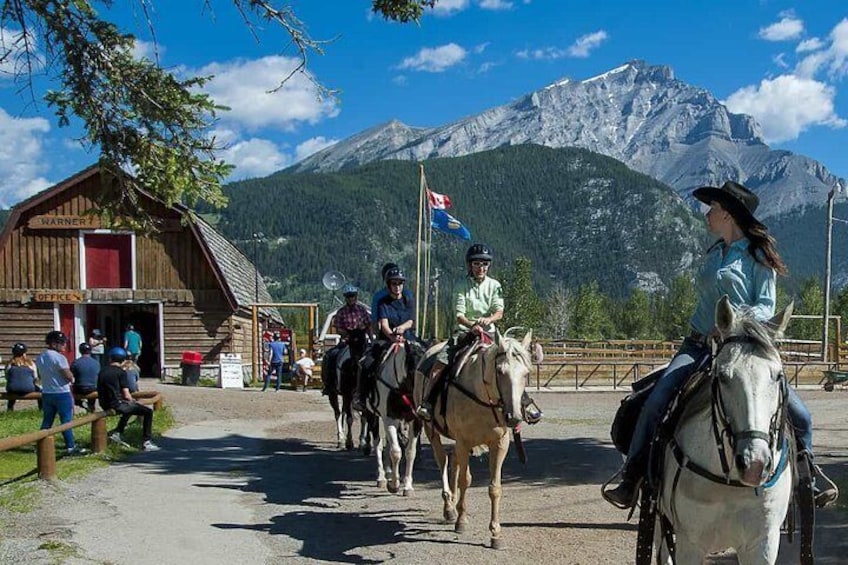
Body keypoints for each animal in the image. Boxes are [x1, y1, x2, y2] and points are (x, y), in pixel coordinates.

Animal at [366, 340, 420, 494]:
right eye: (414, 371)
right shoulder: (389, 418)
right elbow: (396, 452)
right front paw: (394, 485)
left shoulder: (415, 420)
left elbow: (410, 452)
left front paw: (407, 486)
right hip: (372, 416)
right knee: (378, 444)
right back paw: (382, 478)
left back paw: (389, 472)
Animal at [416, 328, 532, 548]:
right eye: (500, 371)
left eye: (526, 373)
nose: (514, 417)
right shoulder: (463, 441)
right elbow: (465, 480)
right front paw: (461, 521)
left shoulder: (499, 445)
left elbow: (495, 488)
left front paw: (495, 533)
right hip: (431, 430)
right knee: (443, 461)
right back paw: (449, 507)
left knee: (453, 460)